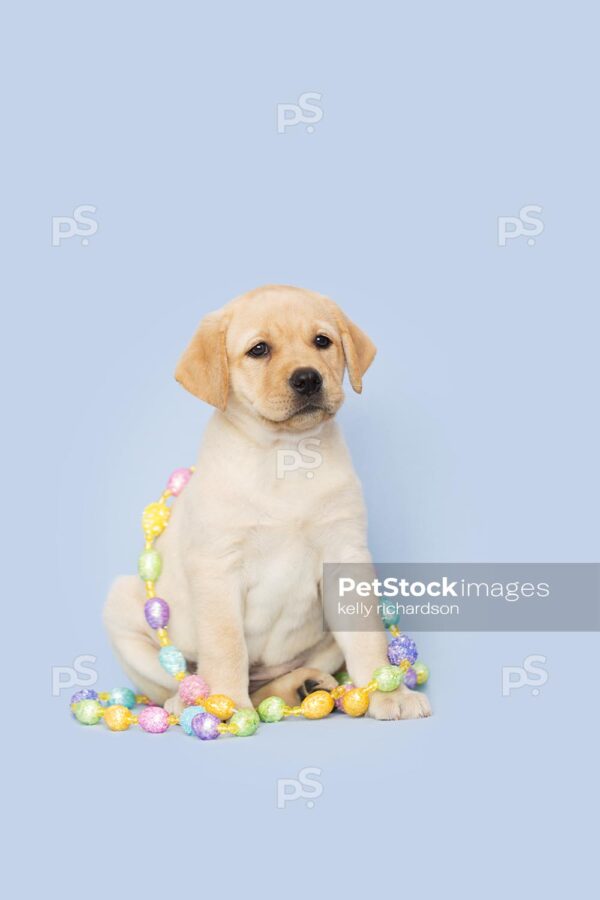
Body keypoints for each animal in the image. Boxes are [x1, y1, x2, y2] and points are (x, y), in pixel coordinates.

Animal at [103, 284, 432, 720]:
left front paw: (389, 693)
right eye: (258, 350)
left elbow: (367, 638)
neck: (286, 455)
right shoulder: (218, 565)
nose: (308, 378)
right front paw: (224, 704)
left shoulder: (346, 556)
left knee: (266, 689)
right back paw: (186, 700)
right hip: (123, 607)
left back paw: (303, 685)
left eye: (322, 341)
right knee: (176, 682)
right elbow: (226, 644)